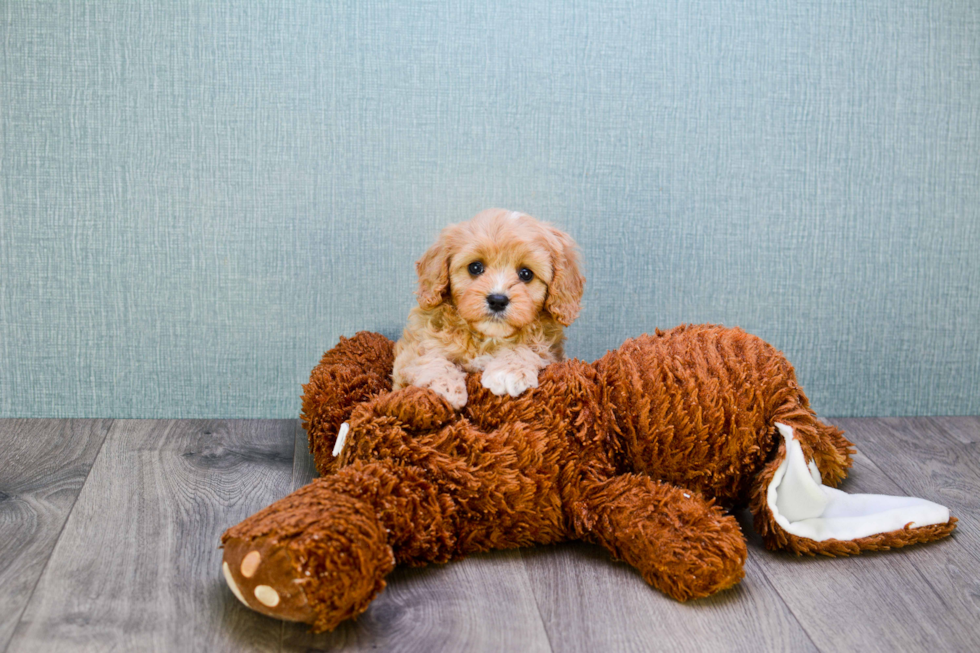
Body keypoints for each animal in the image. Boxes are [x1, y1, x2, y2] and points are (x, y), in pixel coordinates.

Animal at [394, 209, 584, 408]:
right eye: (475, 267)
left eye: (526, 274)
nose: (498, 300)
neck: (488, 338)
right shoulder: (411, 351)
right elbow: (428, 357)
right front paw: (447, 388)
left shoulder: (551, 352)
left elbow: (525, 349)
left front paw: (507, 372)